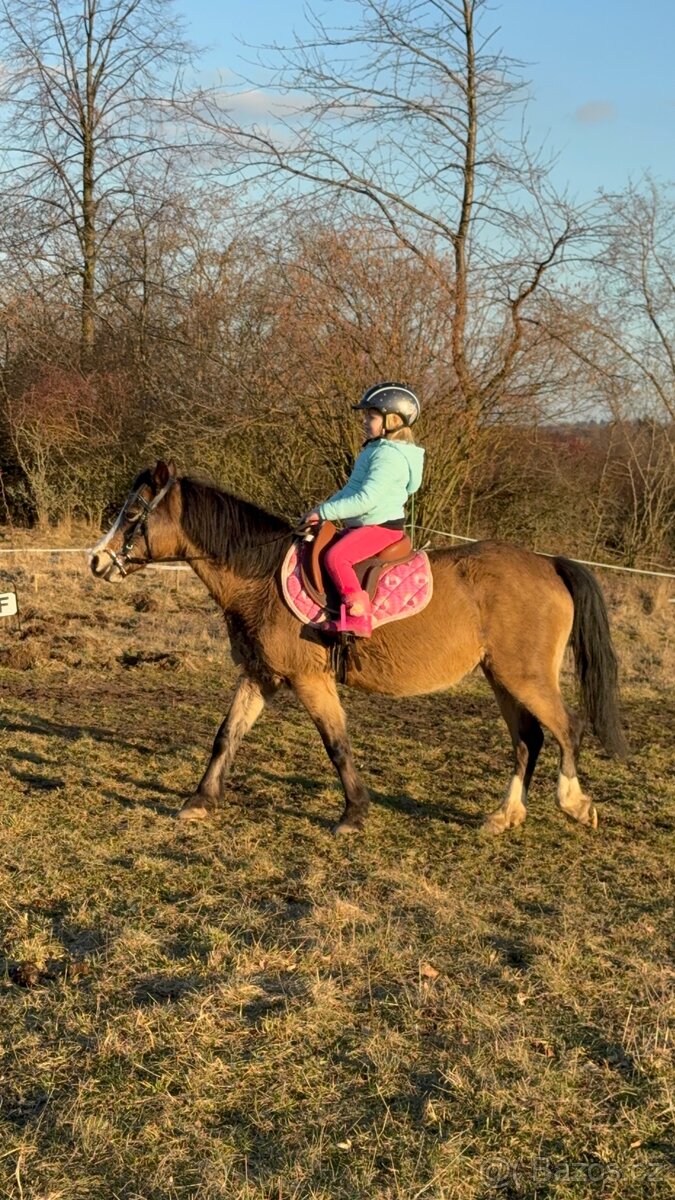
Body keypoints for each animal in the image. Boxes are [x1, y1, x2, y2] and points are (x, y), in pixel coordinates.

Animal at [89, 461, 627, 835]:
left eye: (132, 514)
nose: (96, 561)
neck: (260, 577)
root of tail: (548, 562)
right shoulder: (261, 675)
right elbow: (227, 735)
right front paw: (200, 801)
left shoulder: (310, 680)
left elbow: (337, 744)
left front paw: (353, 813)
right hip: (501, 676)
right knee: (528, 740)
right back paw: (505, 815)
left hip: (524, 676)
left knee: (567, 728)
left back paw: (574, 803)